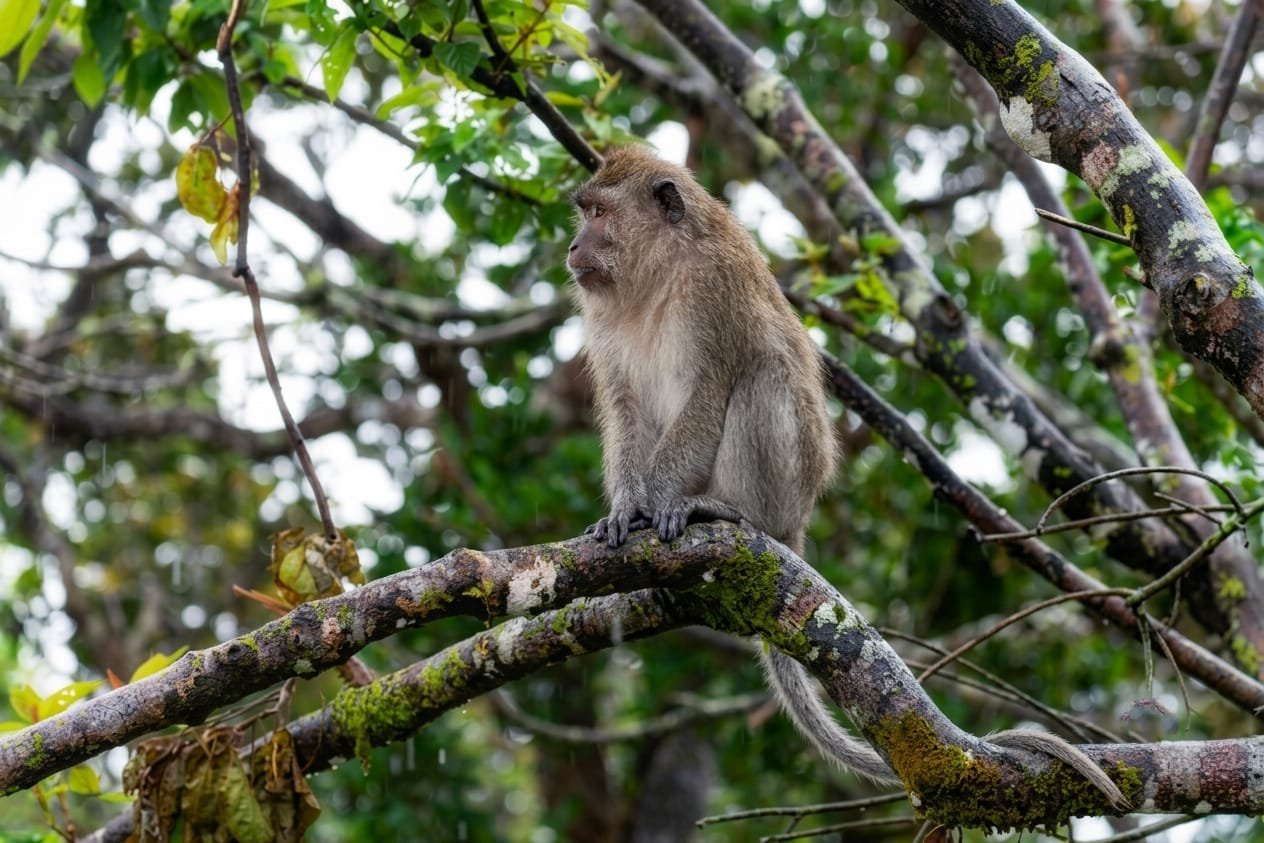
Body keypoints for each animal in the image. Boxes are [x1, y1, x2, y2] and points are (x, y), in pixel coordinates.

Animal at [566, 145, 1127, 808]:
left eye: (599, 214)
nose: (573, 246)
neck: (654, 277)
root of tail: (797, 524)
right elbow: (625, 409)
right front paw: (624, 511)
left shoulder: (712, 293)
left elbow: (710, 390)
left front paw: (655, 507)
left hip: (784, 487)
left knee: (764, 374)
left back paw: (725, 512)